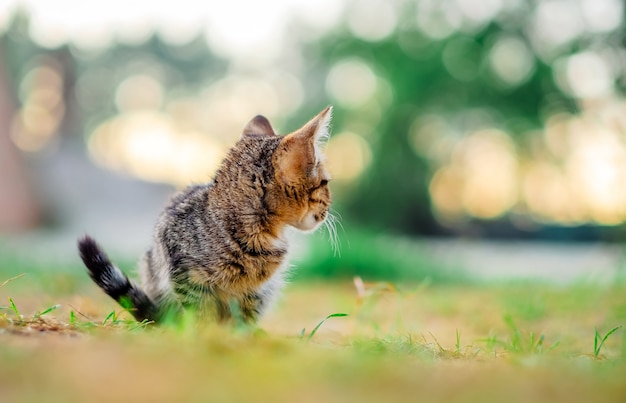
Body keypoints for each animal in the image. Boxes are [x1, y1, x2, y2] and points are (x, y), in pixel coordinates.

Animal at [78, 107, 332, 326]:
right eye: (325, 183)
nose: (329, 206)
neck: (256, 235)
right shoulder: (186, 276)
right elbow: (200, 314)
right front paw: (204, 336)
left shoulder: (257, 291)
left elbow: (244, 318)